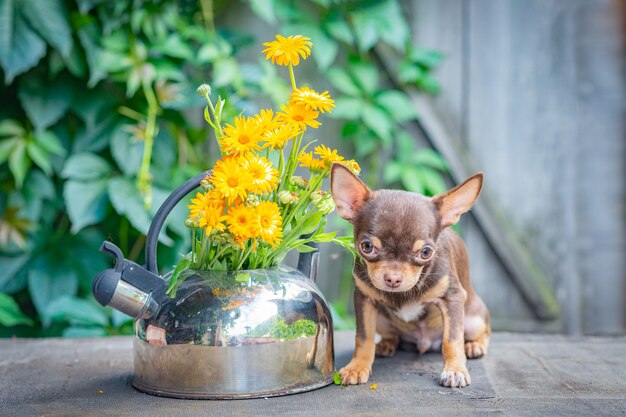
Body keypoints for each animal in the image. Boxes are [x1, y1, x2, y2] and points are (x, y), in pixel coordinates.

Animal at [330, 162, 490, 386]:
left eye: (426, 252)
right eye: (367, 247)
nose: (393, 279)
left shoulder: (453, 298)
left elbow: (452, 339)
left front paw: (455, 370)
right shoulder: (364, 299)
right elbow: (363, 337)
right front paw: (357, 366)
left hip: (473, 320)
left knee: (483, 332)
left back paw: (475, 345)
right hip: (381, 320)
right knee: (391, 336)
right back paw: (386, 344)